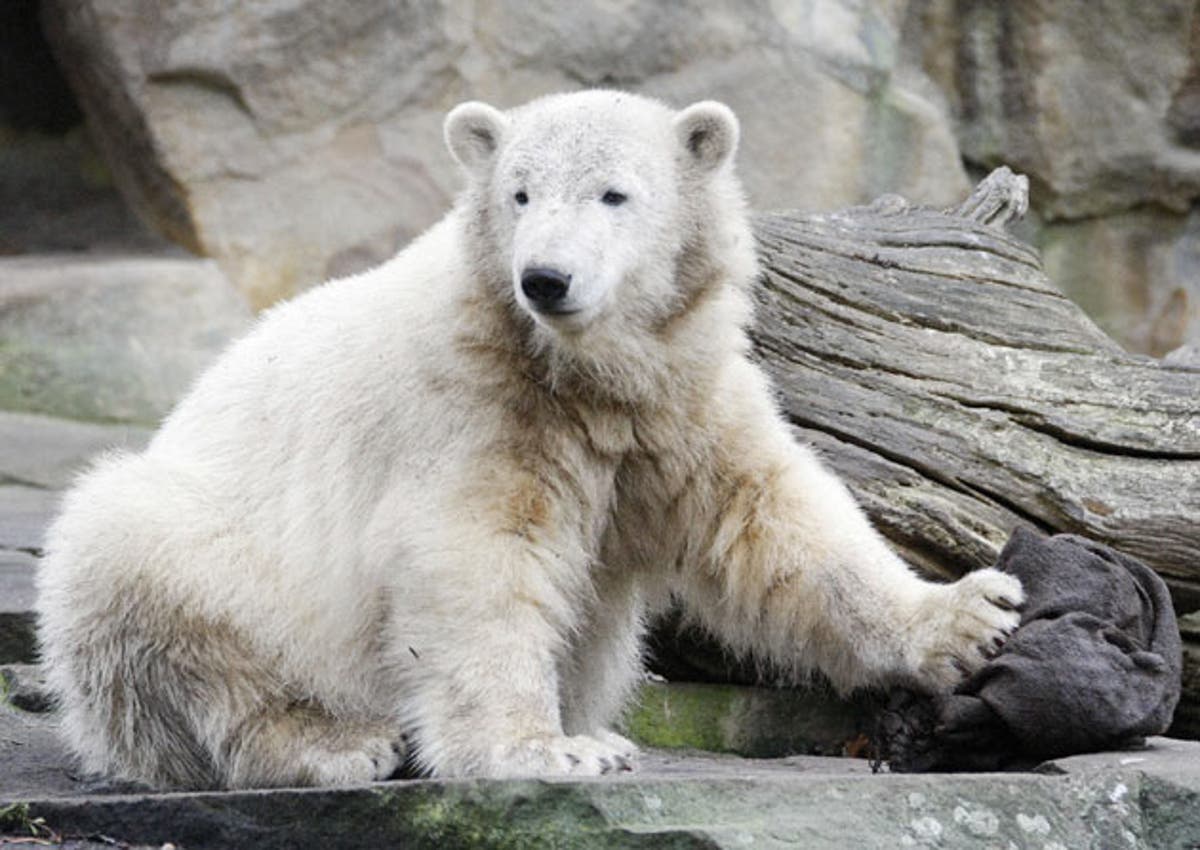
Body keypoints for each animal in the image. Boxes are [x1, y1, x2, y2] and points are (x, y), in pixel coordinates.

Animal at [32, 89, 1017, 787]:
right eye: (520, 192)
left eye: (614, 194)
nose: (546, 277)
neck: (580, 373)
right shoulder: (474, 409)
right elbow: (475, 563)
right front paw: (548, 752)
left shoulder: (681, 404)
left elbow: (774, 524)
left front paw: (970, 617)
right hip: (201, 563)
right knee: (154, 587)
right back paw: (337, 743)